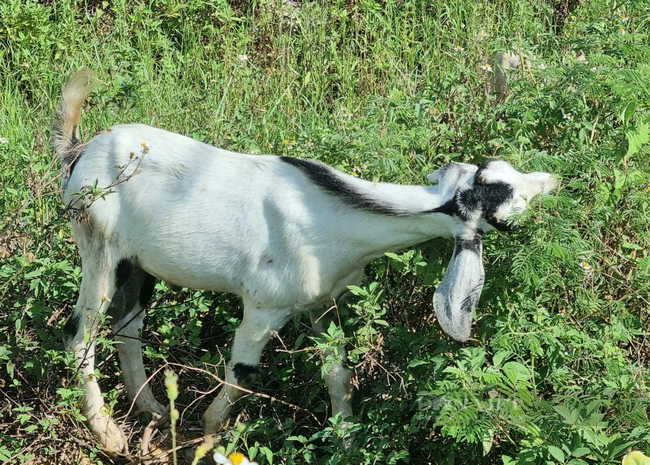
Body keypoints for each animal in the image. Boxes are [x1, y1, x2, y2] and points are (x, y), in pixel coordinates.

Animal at [52, 70, 556, 452]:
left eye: (498, 169)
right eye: (506, 210)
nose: (552, 180)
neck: (332, 215)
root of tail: (79, 151)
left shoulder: (324, 303)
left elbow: (338, 373)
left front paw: (347, 443)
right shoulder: (263, 307)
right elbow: (243, 373)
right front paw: (209, 439)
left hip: (137, 264)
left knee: (127, 327)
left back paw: (152, 409)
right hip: (98, 246)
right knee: (79, 334)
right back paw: (110, 435)